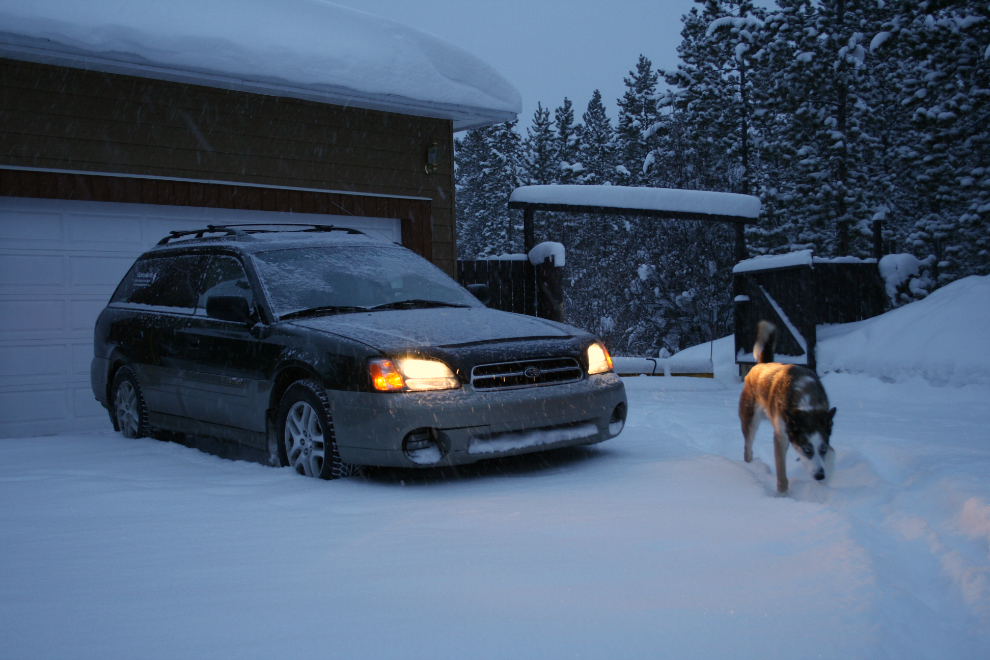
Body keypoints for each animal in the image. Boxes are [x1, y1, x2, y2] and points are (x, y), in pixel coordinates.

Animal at [744, 322, 836, 492]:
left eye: (823, 449)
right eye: (807, 450)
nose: (820, 475)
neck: (806, 401)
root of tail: (762, 364)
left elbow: (832, 454)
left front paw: (824, 486)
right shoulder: (781, 435)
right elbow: (781, 472)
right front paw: (783, 494)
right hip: (750, 420)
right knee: (747, 448)